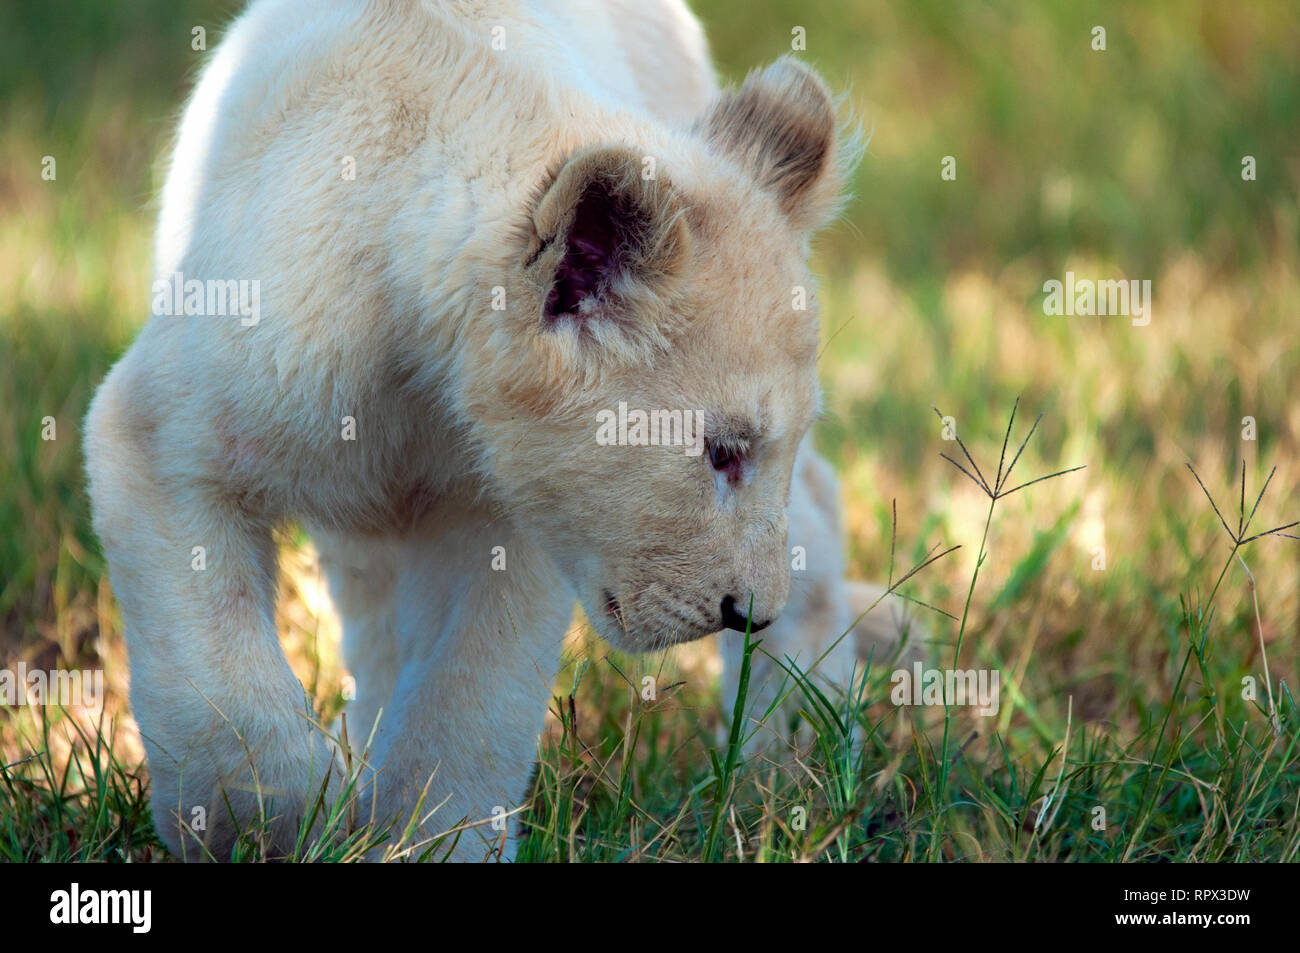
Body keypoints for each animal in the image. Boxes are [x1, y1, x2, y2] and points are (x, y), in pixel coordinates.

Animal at [84, 0, 917, 860]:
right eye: (720, 453)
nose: (749, 611)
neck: (424, 383)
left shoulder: (522, 521)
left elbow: (475, 699)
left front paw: (430, 837)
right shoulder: (164, 432)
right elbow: (213, 670)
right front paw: (268, 818)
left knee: (819, 499)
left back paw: (796, 764)